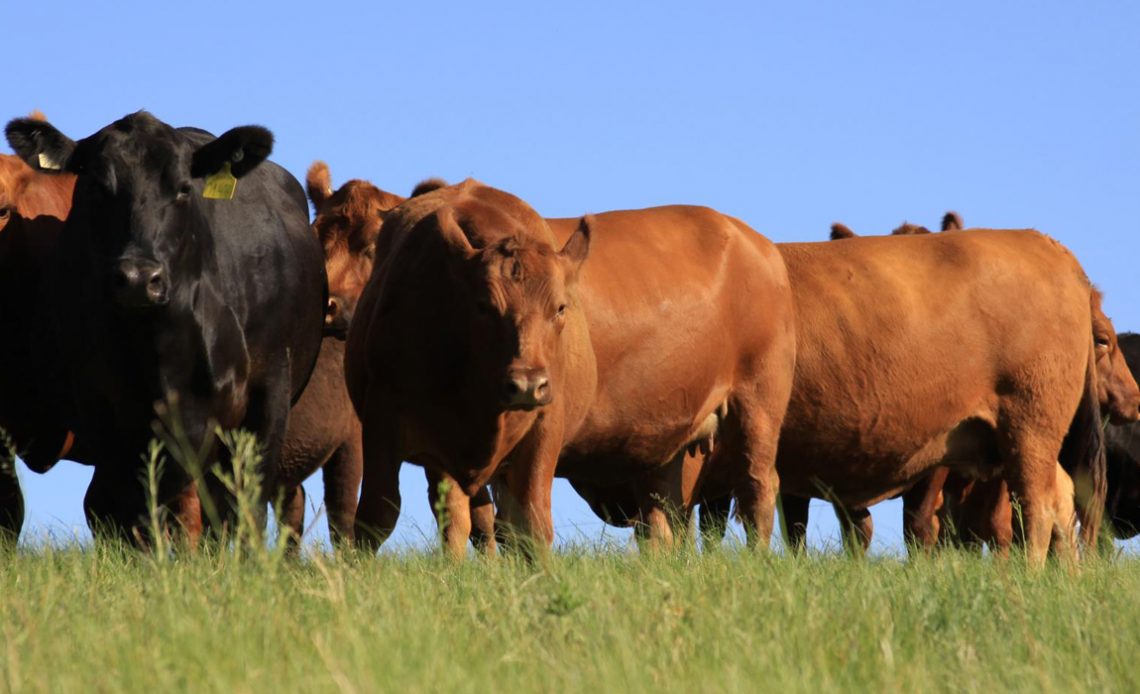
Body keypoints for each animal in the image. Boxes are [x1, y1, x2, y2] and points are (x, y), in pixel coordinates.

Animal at [4, 111, 326, 542]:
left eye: (184, 189)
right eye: (97, 187)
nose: (139, 278)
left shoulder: (267, 393)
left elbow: (244, 507)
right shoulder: (104, 411)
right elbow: (128, 511)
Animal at [348, 180, 802, 558]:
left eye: (560, 307)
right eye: (483, 306)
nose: (527, 384)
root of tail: (756, 243)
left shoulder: (544, 427)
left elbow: (530, 525)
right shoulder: (389, 426)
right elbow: (383, 520)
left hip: (757, 403)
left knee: (757, 489)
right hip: (665, 438)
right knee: (662, 516)